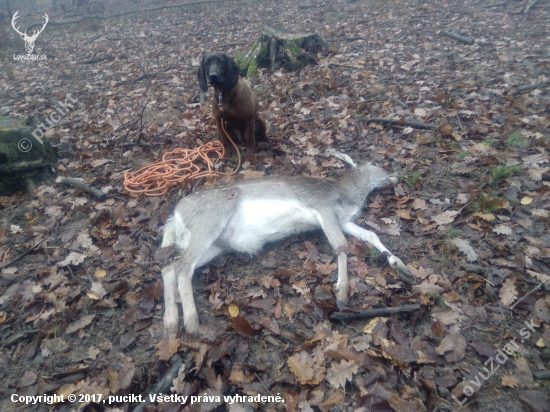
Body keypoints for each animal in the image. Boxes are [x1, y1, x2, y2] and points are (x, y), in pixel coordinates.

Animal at [162, 151, 416, 334]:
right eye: (374, 162)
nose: (395, 175)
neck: (346, 196)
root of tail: (175, 216)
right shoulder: (325, 209)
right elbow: (341, 246)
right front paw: (342, 294)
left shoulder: (343, 220)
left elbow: (371, 235)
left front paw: (403, 268)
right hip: (209, 222)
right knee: (183, 267)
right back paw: (191, 325)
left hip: (214, 244)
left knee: (170, 268)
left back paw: (170, 322)